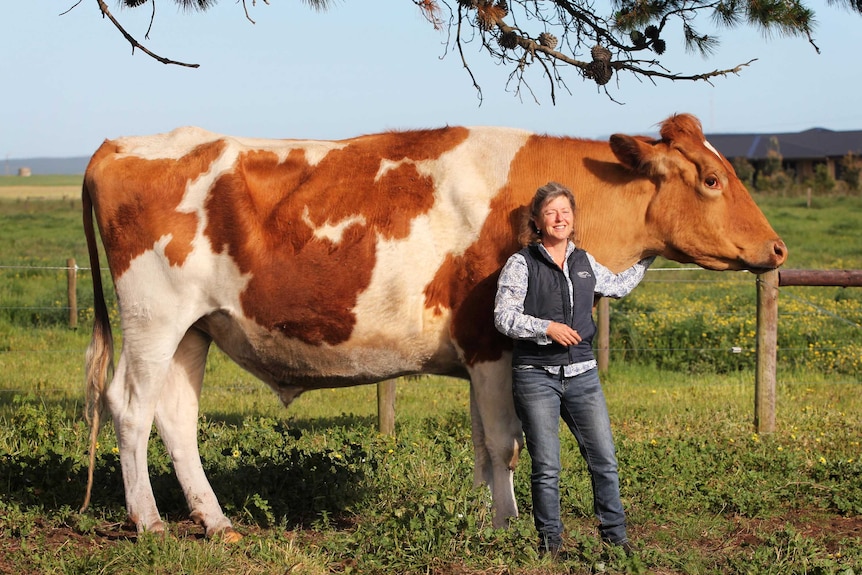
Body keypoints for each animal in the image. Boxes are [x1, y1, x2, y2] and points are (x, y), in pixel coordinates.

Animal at [81, 113, 788, 544]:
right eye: (712, 178)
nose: (777, 248)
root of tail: (122, 145)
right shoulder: (492, 342)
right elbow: (506, 442)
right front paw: (509, 527)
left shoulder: (478, 356)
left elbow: (481, 445)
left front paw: (481, 518)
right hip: (153, 315)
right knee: (130, 407)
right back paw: (149, 522)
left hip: (195, 329)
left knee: (176, 417)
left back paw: (216, 521)